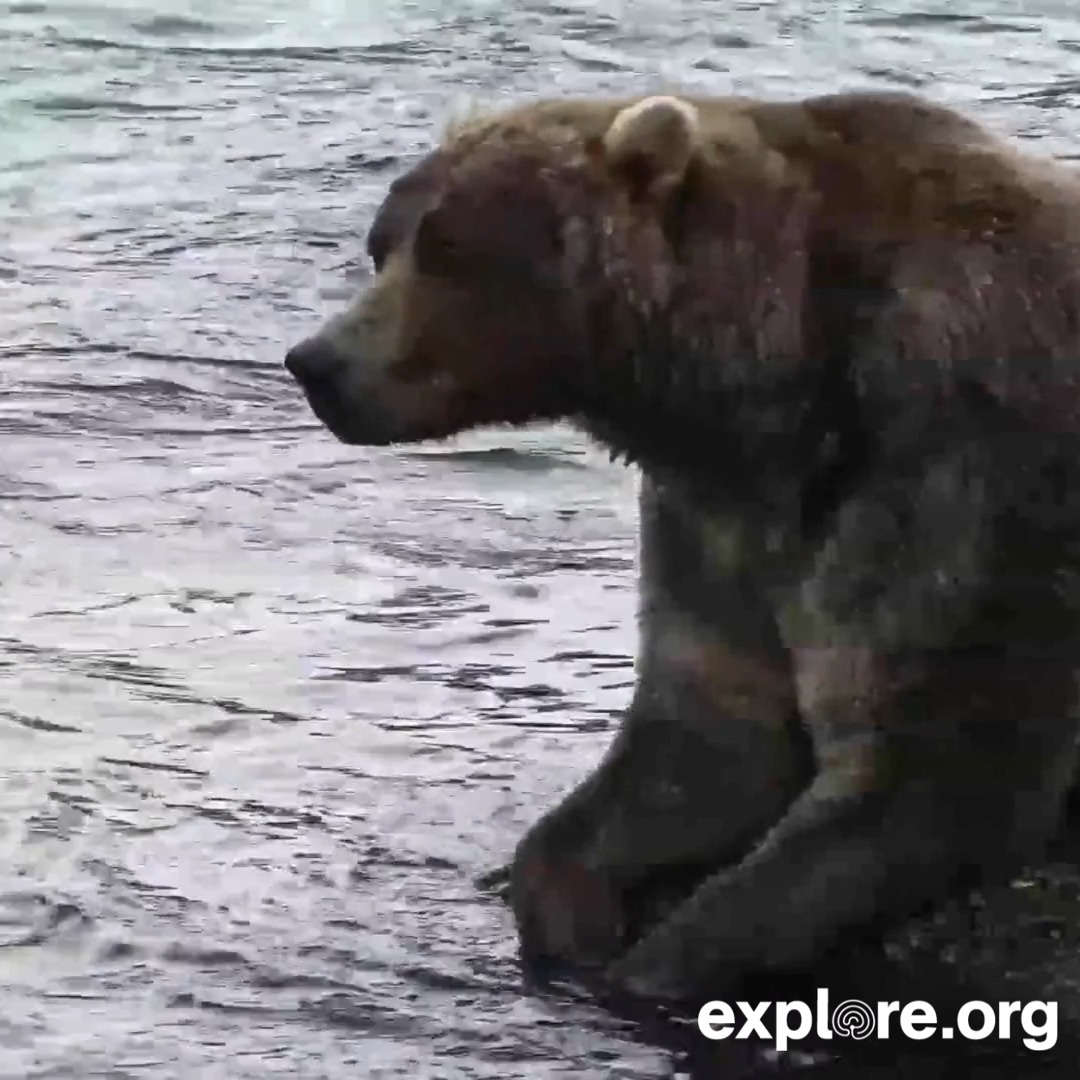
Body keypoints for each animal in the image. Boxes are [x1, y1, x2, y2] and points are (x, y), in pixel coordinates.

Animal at [284, 87, 1080, 1004]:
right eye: (383, 242)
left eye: (451, 248)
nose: (317, 361)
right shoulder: (718, 525)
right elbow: (703, 737)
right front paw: (571, 916)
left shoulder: (955, 469)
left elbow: (931, 771)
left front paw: (657, 964)